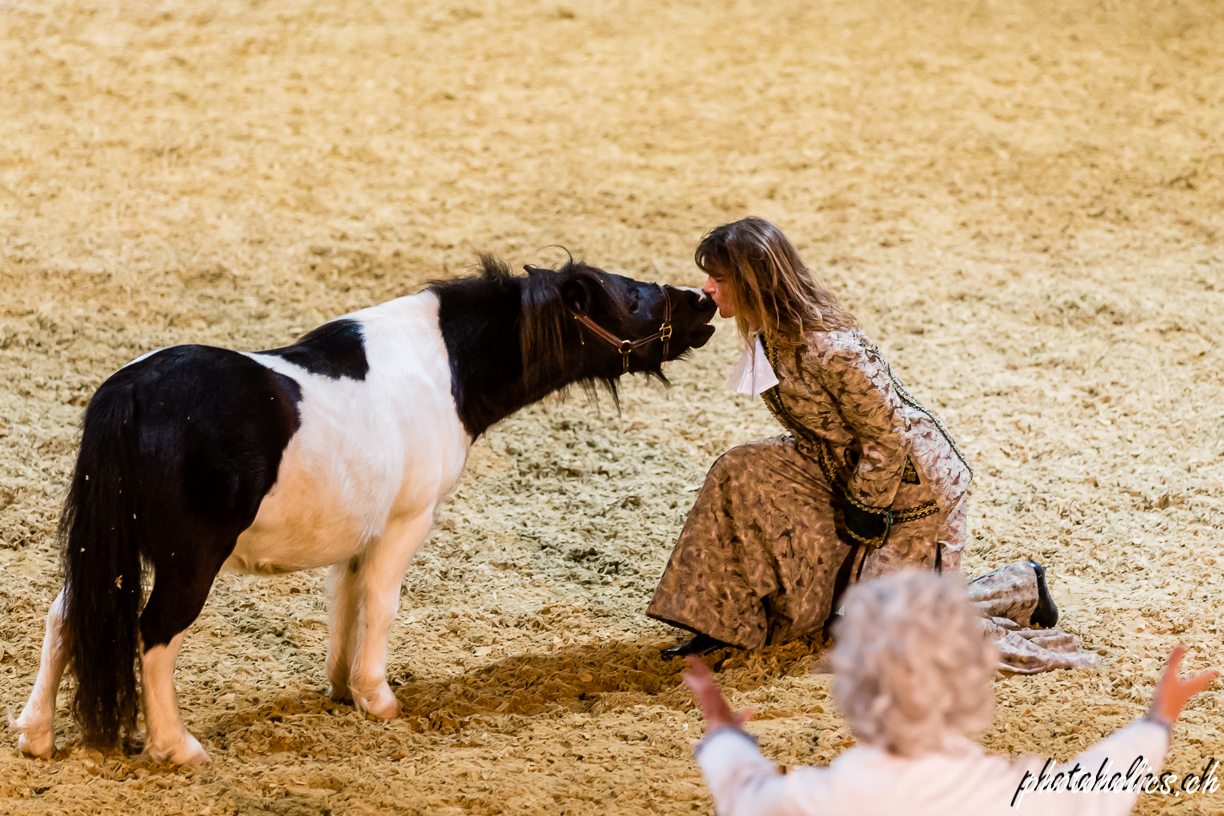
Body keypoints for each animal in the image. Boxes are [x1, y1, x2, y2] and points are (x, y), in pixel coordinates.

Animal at [9, 255, 714, 768]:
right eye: (629, 298)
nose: (705, 300)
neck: (441, 369)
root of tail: (129, 392)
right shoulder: (406, 523)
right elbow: (381, 604)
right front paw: (377, 698)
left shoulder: (356, 533)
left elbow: (344, 604)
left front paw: (343, 689)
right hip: (188, 562)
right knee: (154, 634)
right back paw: (175, 747)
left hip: (108, 550)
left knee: (65, 618)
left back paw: (36, 735)